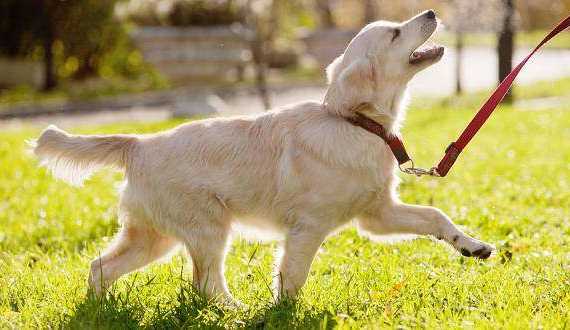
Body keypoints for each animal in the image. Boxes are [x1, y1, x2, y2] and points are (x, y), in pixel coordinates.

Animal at [33, 9, 492, 304]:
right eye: (396, 33)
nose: (431, 11)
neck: (354, 123)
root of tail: (139, 143)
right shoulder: (308, 227)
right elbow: (293, 276)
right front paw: (282, 314)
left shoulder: (376, 215)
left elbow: (435, 217)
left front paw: (470, 245)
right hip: (208, 228)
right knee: (206, 285)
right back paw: (235, 313)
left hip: (154, 236)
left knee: (100, 266)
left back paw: (98, 309)